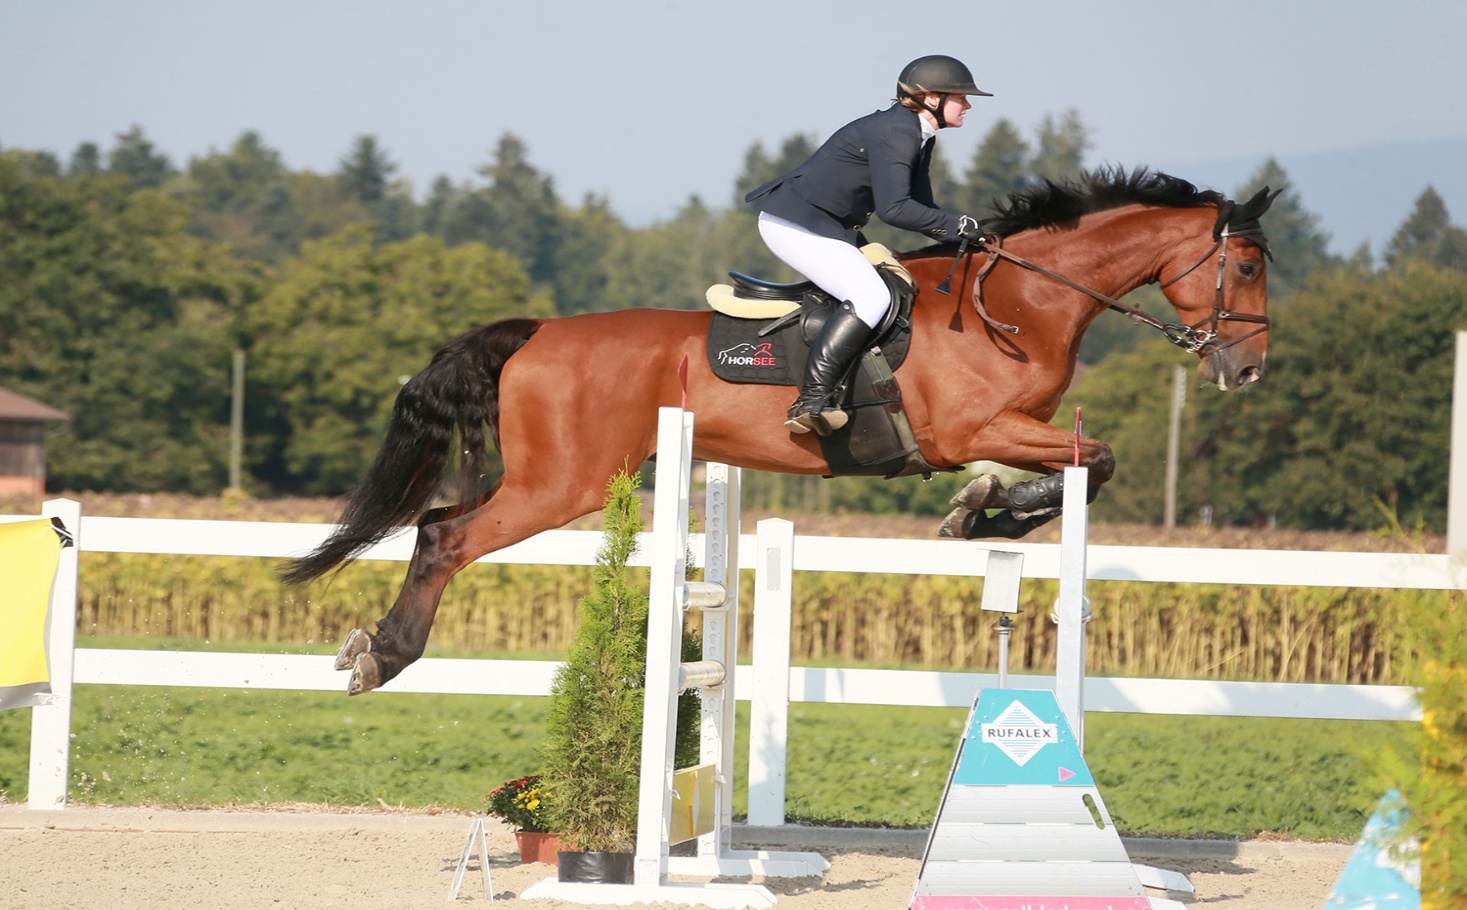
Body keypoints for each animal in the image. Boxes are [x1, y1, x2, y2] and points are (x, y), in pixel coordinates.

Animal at [282, 168, 1280, 695]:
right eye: (1243, 265)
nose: (1247, 371)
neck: (1020, 300)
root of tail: (537, 333)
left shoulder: (1016, 426)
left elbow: (1081, 464)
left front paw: (985, 510)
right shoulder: (973, 426)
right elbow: (1094, 459)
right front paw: (982, 512)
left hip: (547, 477)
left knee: (432, 524)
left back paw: (375, 648)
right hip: (560, 484)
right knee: (447, 536)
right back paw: (385, 656)